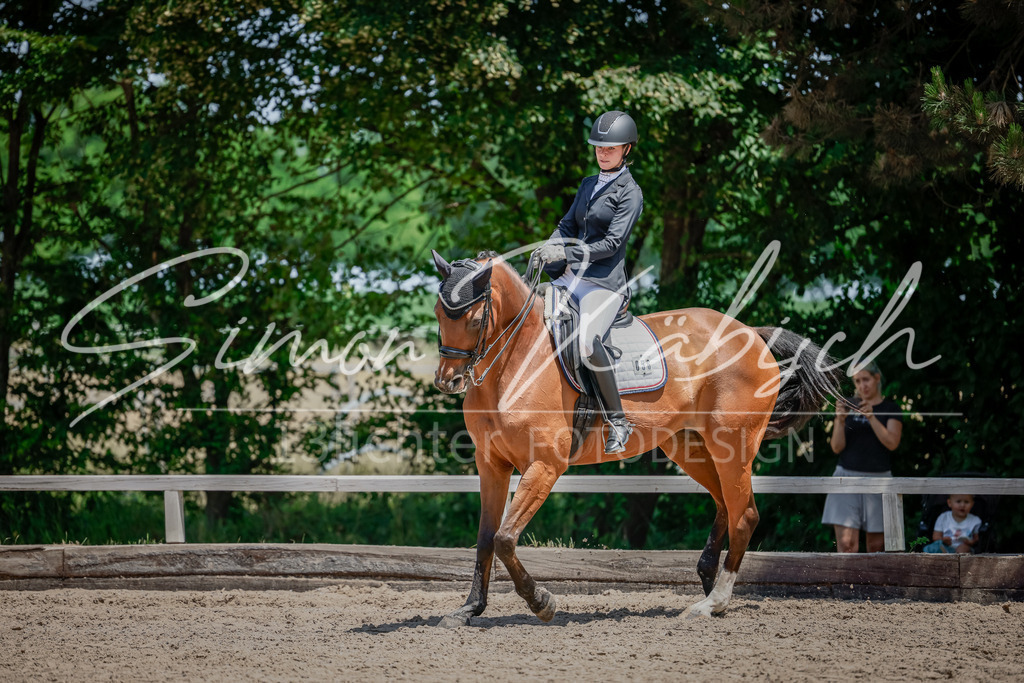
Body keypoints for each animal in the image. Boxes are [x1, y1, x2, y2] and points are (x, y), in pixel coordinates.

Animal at [430, 249, 841, 626]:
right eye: (437, 313)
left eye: (475, 318)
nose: (448, 381)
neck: (514, 361)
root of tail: (751, 333)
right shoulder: (491, 465)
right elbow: (486, 537)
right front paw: (469, 609)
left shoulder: (545, 465)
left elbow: (504, 538)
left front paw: (541, 602)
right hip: (689, 447)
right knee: (725, 504)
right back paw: (709, 582)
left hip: (734, 447)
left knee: (745, 516)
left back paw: (712, 603)